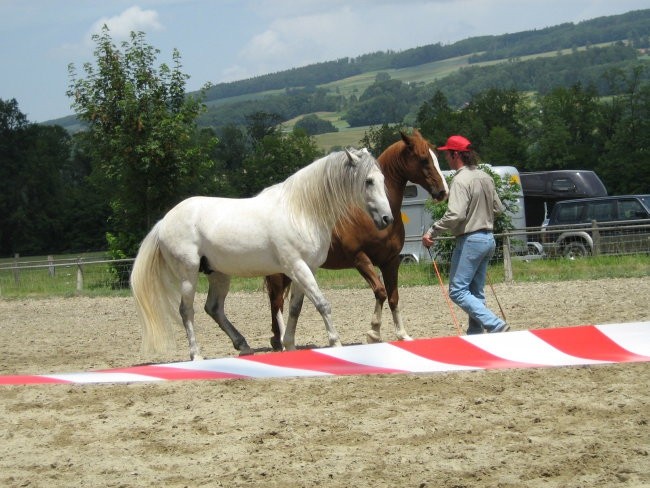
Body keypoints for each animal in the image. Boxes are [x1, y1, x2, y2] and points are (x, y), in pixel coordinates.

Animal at [128, 148, 390, 358]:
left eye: (383, 179)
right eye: (368, 181)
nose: (387, 218)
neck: (300, 212)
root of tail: (164, 221)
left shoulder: (306, 269)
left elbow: (295, 308)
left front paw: (290, 345)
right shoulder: (297, 266)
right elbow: (322, 304)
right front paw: (335, 344)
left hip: (218, 273)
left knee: (213, 308)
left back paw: (243, 346)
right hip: (188, 275)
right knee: (186, 311)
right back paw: (196, 355)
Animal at [264, 130, 446, 350]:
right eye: (423, 159)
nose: (442, 191)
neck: (368, 214)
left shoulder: (391, 261)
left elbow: (393, 297)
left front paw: (403, 335)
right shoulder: (360, 258)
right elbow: (380, 291)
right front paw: (373, 332)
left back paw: (277, 340)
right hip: (280, 272)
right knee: (276, 303)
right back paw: (281, 341)